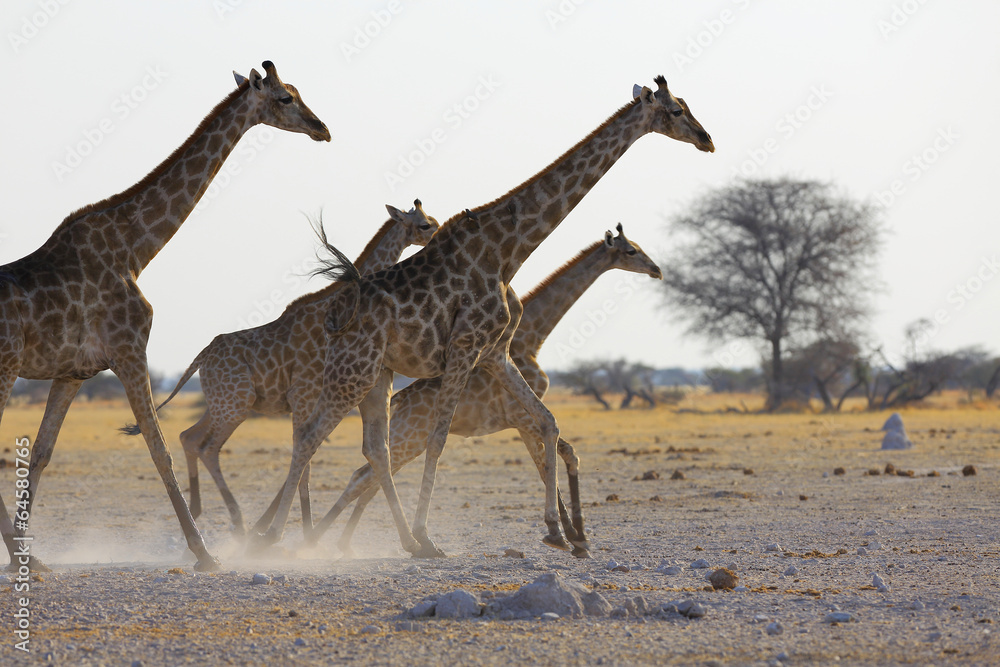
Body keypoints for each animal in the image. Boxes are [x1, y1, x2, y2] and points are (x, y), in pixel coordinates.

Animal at [0, 61, 330, 571]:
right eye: (284, 98)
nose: (322, 129)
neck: (135, 250)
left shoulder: (72, 372)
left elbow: (42, 453)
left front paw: (27, 558)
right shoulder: (130, 350)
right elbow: (159, 449)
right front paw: (204, 551)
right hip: (5, 366)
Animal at [126, 200, 439, 536]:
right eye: (425, 224)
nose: (437, 235)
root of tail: (200, 357)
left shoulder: (309, 399)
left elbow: (304, 458)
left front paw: (281, 526)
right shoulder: (303, 395)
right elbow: (305, 461)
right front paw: (300, 530)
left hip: (223, 403)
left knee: (189, 437)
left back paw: (199, 513)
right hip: (236, 406)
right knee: (208, 447)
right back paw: (237, 521)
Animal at [306, 224, 662, 558]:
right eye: (631, 251)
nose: (656, 269)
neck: (533, 337)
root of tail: (399, 401)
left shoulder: (524, 420)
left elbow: (560, 458)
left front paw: (575, 537)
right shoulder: (522, 418)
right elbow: (550, 465)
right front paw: (569, 536)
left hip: (407, 440)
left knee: (368, 476)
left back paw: (344, 542)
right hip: (409, 439)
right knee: (363, 476)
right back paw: (326, 540)